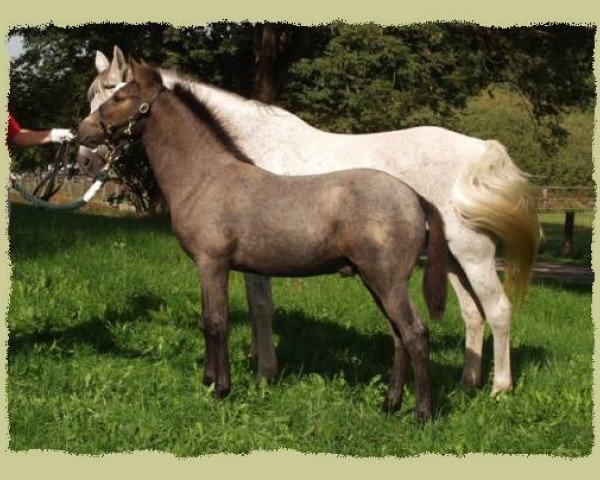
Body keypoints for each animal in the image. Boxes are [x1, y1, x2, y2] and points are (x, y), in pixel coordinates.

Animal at [81, 46, 540, 394]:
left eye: (113, 93)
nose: (84, 150)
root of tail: (479, 150)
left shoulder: (236, 261)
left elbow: (256, 309)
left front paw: (262, 371)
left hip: (473, 255)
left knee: (497, 310)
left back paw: (500, 388)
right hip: (452, 262)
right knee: (472, 316)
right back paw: (467, 382)